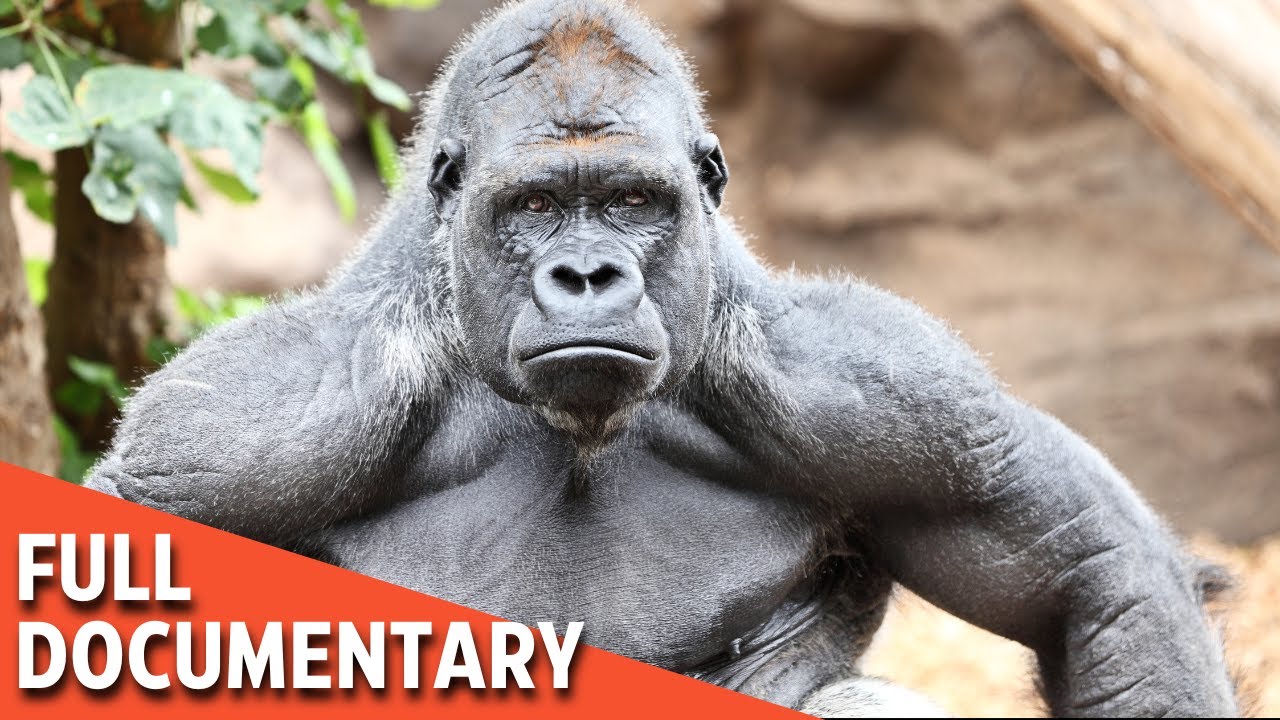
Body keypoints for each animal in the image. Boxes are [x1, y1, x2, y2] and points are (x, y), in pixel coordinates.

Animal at [84, 0, 1238, 715]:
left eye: (632, 202)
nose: (588, 274)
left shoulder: (895, 398)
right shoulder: (245, 429)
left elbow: (1094, 574)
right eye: (534, 207)